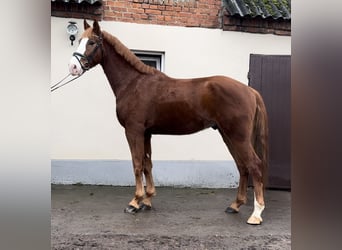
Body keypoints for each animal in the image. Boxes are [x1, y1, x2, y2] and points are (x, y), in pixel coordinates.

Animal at [68, 20, 268, 226]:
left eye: (92, 42)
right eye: (80, 41)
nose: (73, 67)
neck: (134, 83)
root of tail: (250, 91)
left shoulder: (133, 131)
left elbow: (137, 163)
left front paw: (135, 202)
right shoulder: (146, 133)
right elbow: (147, 164)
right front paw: (147, 200)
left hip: (237, 136)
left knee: (254, 165)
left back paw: (256, 214)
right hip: (227, 135)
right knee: (242, 166)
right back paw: (235, 205)